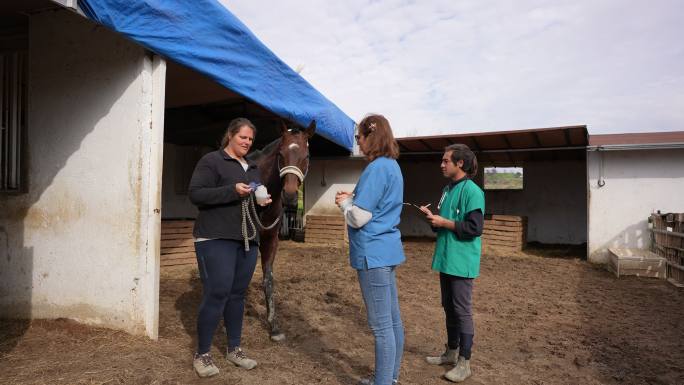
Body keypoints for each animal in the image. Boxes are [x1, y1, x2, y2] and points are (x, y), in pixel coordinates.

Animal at [248, 119, 316, 340]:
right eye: (280, 154)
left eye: (307, 156)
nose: (290, 195)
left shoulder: (271, 240)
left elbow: (268, 279)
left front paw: (274, 325)